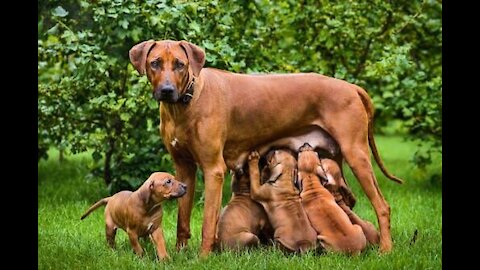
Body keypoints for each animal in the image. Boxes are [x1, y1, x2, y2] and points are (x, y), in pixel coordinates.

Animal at [127, 39, 402, 255]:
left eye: (180, 64)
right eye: (155, 63)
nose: (166, 90)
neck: (185, 103)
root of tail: (351, 87)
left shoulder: (213, 170)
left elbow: (207, 223)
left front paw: (204, 258)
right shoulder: (183, 170)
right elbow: (182, 221)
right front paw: (180, 254)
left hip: (356, 155)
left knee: (382, 206)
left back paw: (385, 250)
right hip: (333, 159)